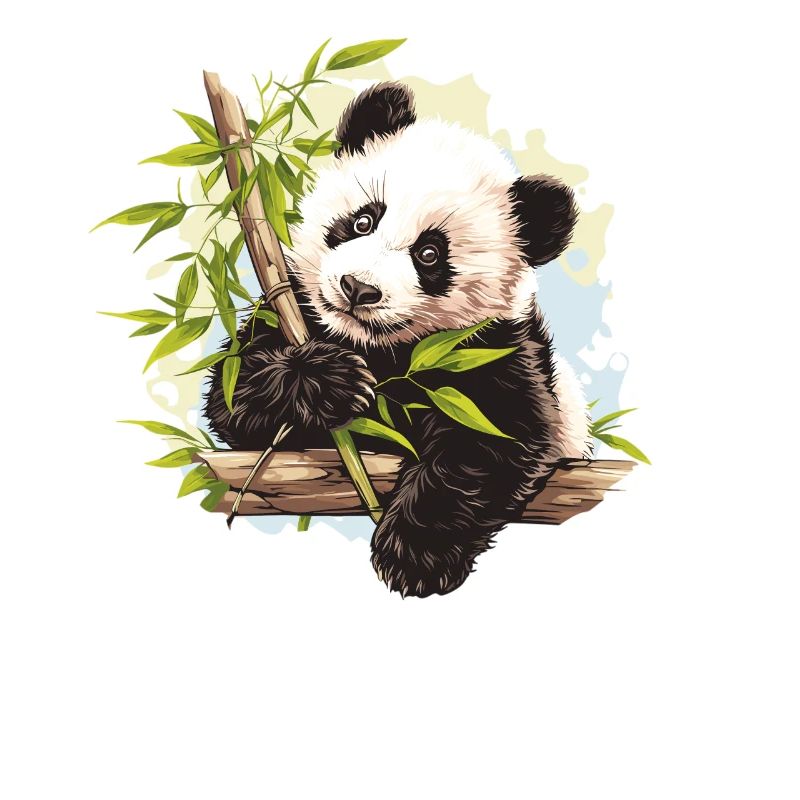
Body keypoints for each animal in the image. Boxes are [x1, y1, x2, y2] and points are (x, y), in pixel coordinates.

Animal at [205, 82, 592, 597]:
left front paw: (415, 556)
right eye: (363, 221)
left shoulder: (495, 352)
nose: (357, 288)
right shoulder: (293, 304)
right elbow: (234, 395)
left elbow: (493, 439)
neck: (384, 350)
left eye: (429, 254)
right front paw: (332, 381)